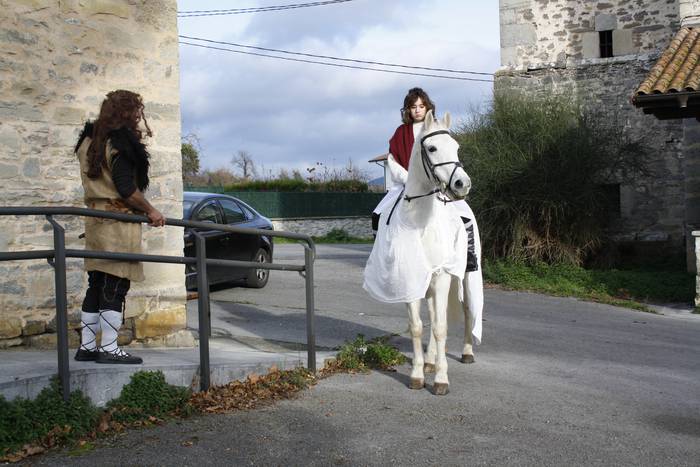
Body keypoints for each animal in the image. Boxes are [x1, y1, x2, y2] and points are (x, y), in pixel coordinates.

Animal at [363, 110, 483, 395]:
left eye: (456, 147)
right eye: (432, 148)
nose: (462, 184)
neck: (419, 223)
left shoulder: (442, 276)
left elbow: (440, 327)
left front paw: (441, 379)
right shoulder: (411, 279)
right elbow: (418, 327)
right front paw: (418, 374)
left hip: (463, 277)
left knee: (466, 310)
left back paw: (466, 352)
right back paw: (429, 360)